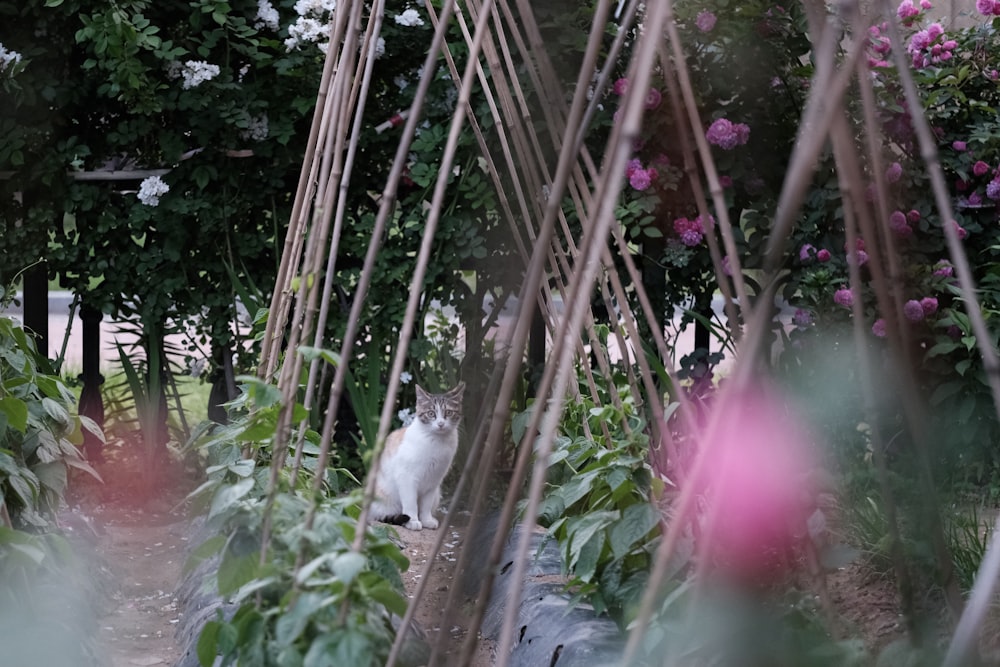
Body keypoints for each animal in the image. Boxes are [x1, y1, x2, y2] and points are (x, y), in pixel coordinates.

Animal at [368, 380, 464, 532]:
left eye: (448, 412)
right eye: (431, 413)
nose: (441, 424)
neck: (437, 442)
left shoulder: (433, 481)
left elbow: (425, 506)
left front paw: (426, 520)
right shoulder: (406, 477)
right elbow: (410, 503)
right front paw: (412, 521)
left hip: (437, 494)